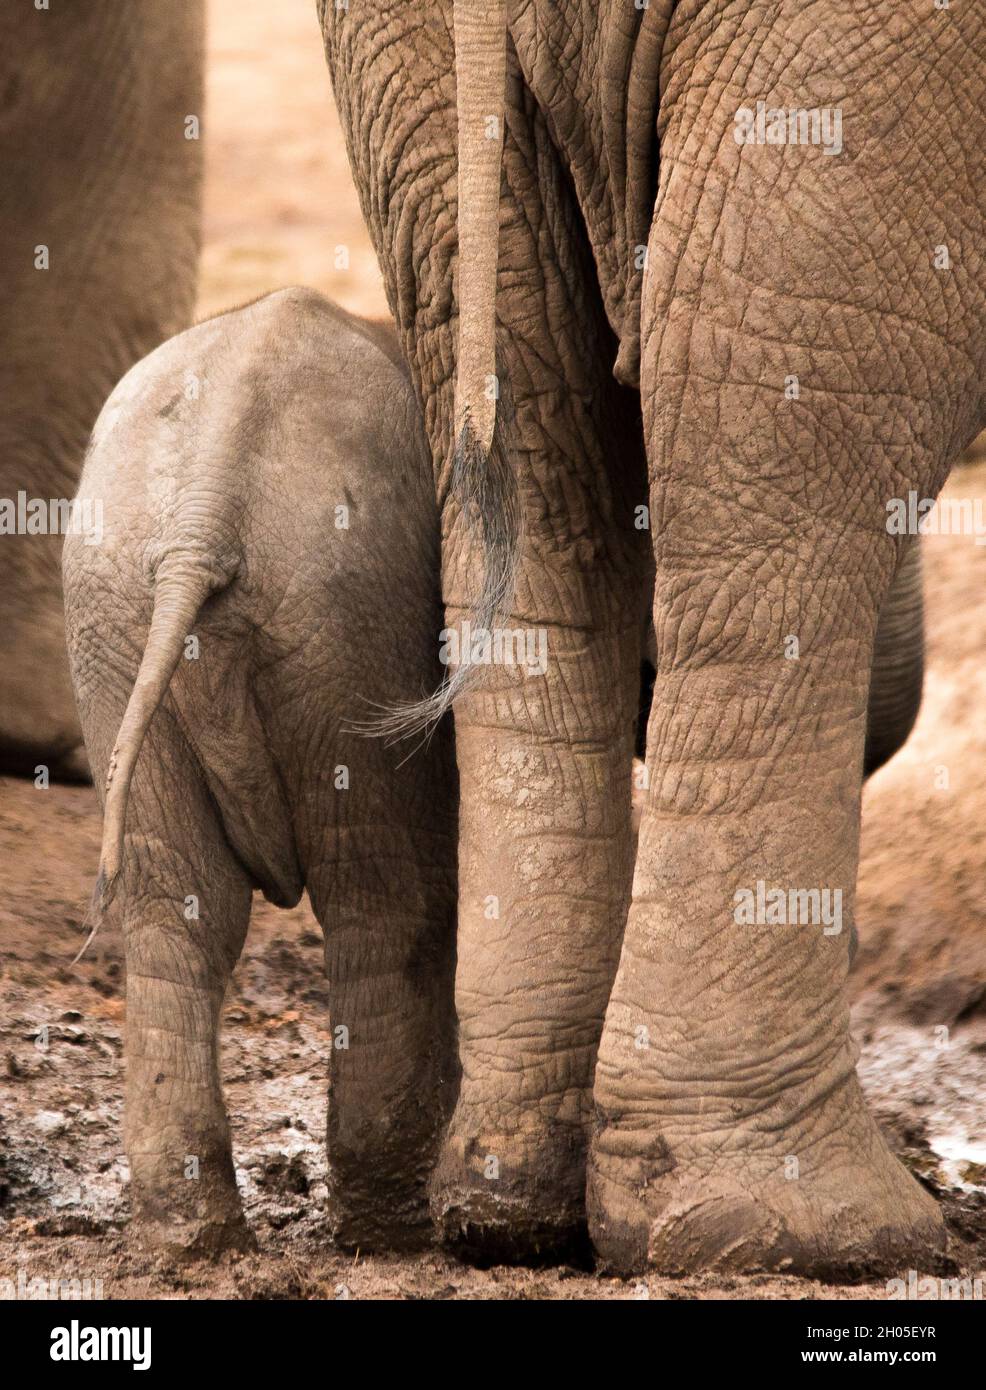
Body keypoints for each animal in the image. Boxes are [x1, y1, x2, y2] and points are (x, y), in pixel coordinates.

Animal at [65, 287, 458, 1256]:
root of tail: (203, 517)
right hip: (348, 608)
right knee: (382, 891)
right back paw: (388, 1230)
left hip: (122, 610)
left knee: (180, 902)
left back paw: (190, 1239)